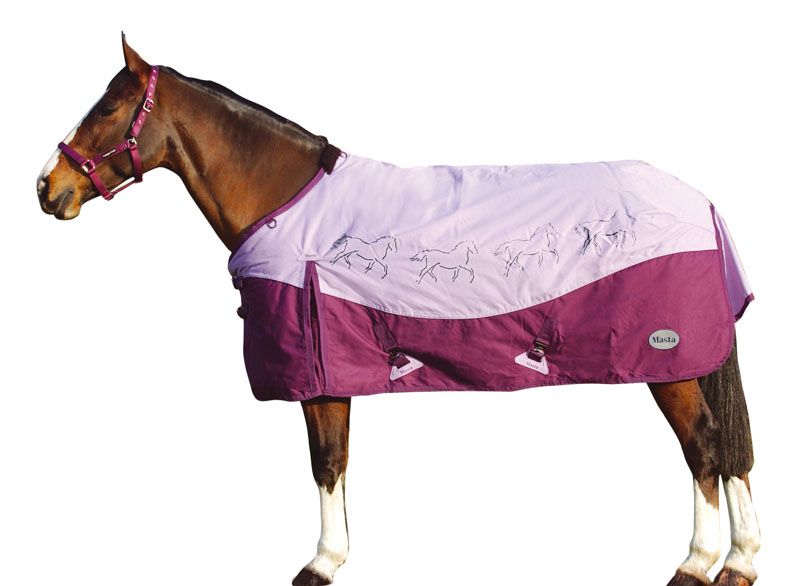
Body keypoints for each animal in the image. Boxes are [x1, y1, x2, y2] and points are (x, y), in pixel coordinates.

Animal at [37, 35, 761, 586]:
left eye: (107, 108)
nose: (47, 187)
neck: (289, 206)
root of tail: (701, 203)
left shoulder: (320, 374)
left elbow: (326, 463)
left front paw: (321, 564)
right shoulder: (337, 371)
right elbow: (336, 462)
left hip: (668, 363)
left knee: (704, 446)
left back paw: (696, 565)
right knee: (727, 451)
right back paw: (740, 563)